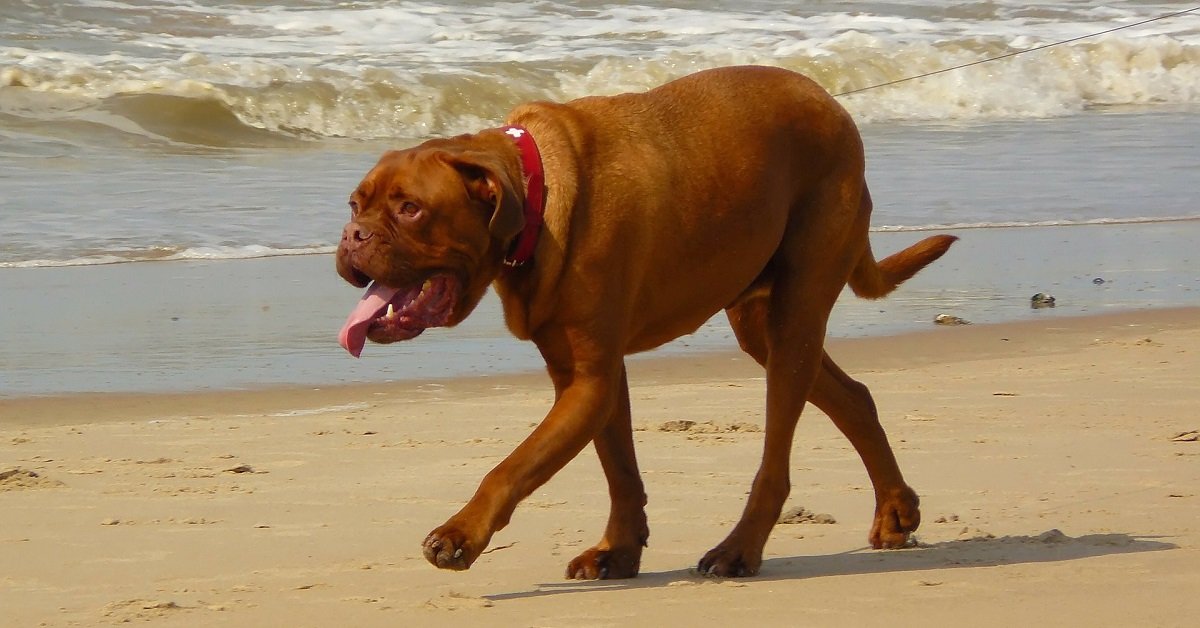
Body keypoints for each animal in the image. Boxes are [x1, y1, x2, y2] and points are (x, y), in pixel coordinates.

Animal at [336, 63, 955, 581]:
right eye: (355, 205)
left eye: (410, 209)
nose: (352, 235)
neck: (533, 197)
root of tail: (834, 105)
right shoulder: (587, 378)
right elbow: (620, 472)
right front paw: (619, 550)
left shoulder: (590, 381)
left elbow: (512, 467)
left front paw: (460, 535)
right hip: (762, 324)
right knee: (853, 397)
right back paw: (895, 510)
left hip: (797, 313)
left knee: (775, 460)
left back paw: (739, 549)